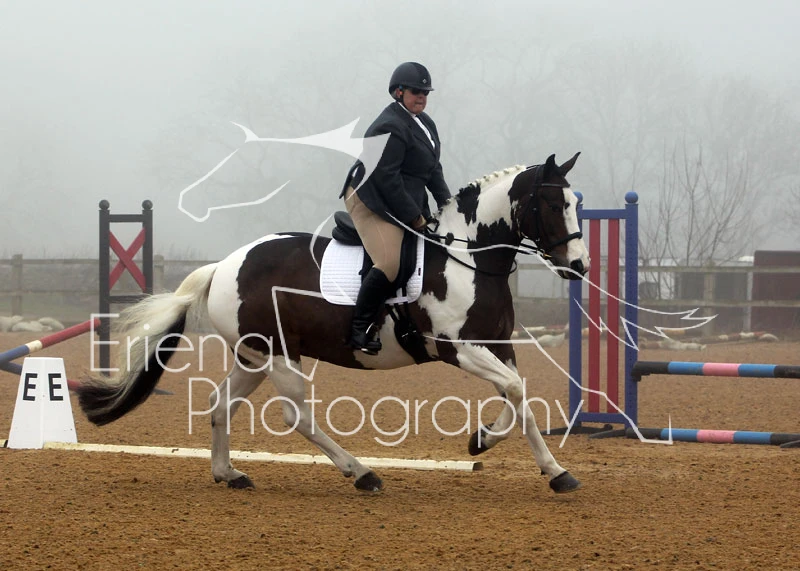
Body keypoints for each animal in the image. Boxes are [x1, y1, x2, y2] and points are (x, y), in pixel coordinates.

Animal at [77, 153, 590, 494]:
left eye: (575, 204)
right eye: (552, 206)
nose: (579, 267)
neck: (468, 258)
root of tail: (224, 266)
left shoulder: (497, 345)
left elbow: (519, 395)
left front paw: (525, 459)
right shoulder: (457, 348)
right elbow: (517, 391)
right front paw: (495, 446)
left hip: (255, 355)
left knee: (221, 403)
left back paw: (230, 474)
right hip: (279, 355)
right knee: (297, 416)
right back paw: (361, 472)